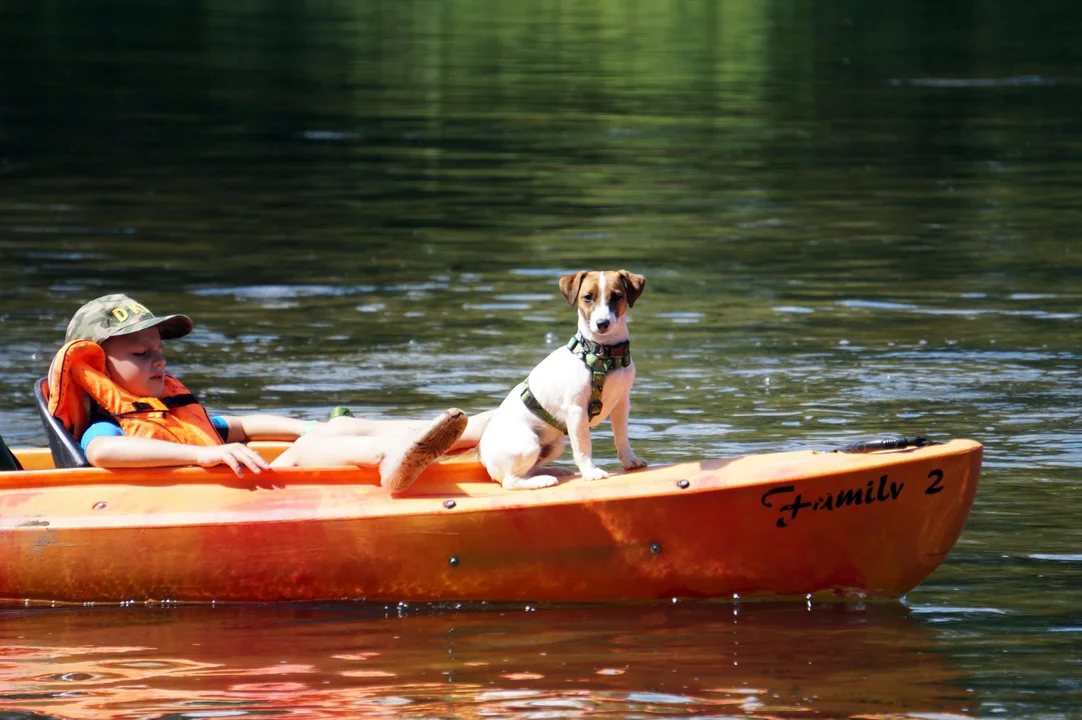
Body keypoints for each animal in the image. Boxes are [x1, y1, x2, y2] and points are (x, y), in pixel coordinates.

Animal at [478, 269, 644, 489]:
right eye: (588, 297)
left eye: (616, 296)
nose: (602, 324)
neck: (603, 355)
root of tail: (485, 459)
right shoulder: (577, 410)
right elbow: (583, 446)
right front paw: (591, 472)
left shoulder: (622, 402)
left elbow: (621, 436)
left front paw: (629, 460)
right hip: (529, 444)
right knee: (510, 481)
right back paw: (543, 480)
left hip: (553, 446)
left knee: (528, 471)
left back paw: (554, 471)